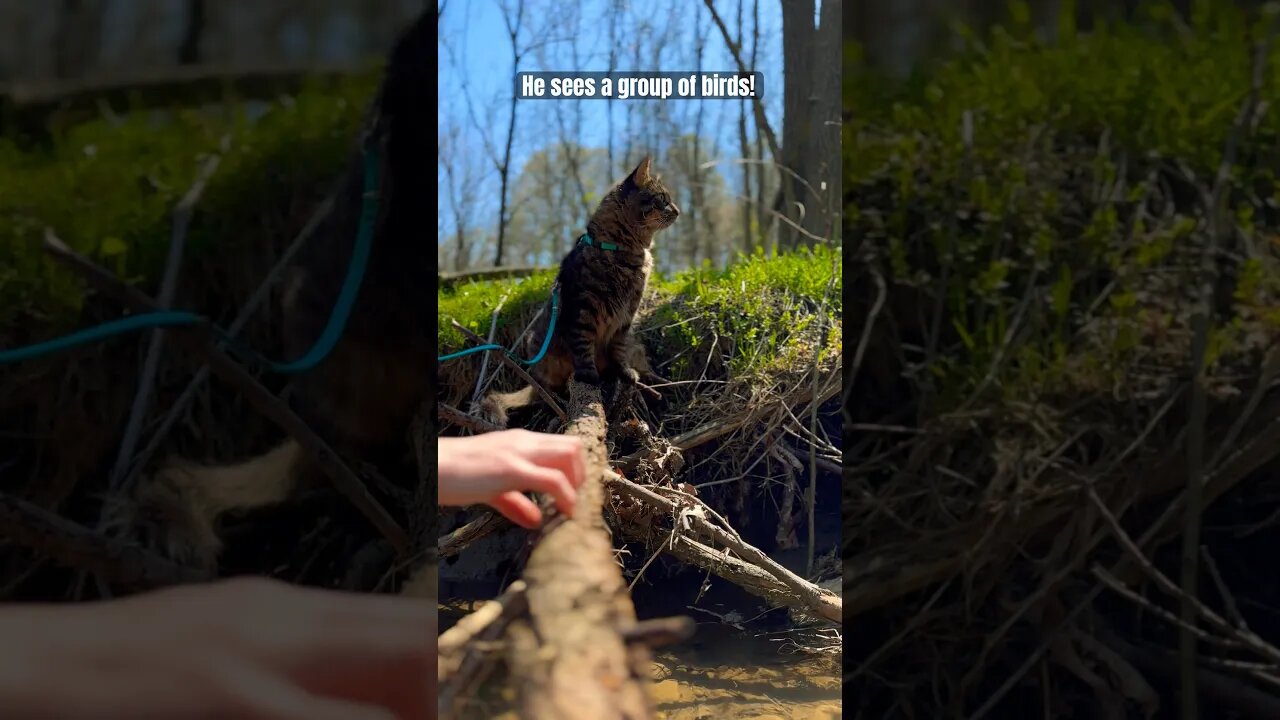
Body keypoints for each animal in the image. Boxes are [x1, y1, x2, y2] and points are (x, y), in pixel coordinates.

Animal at [481, 156, 680, 422]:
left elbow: (618, 349)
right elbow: (583, 347)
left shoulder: (626, 316)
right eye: (662, 199)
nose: (678, 210)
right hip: (539, 346)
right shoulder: (581, 309)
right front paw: (588, 375)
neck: (622, 253)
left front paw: (624, 371)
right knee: (547, 387)